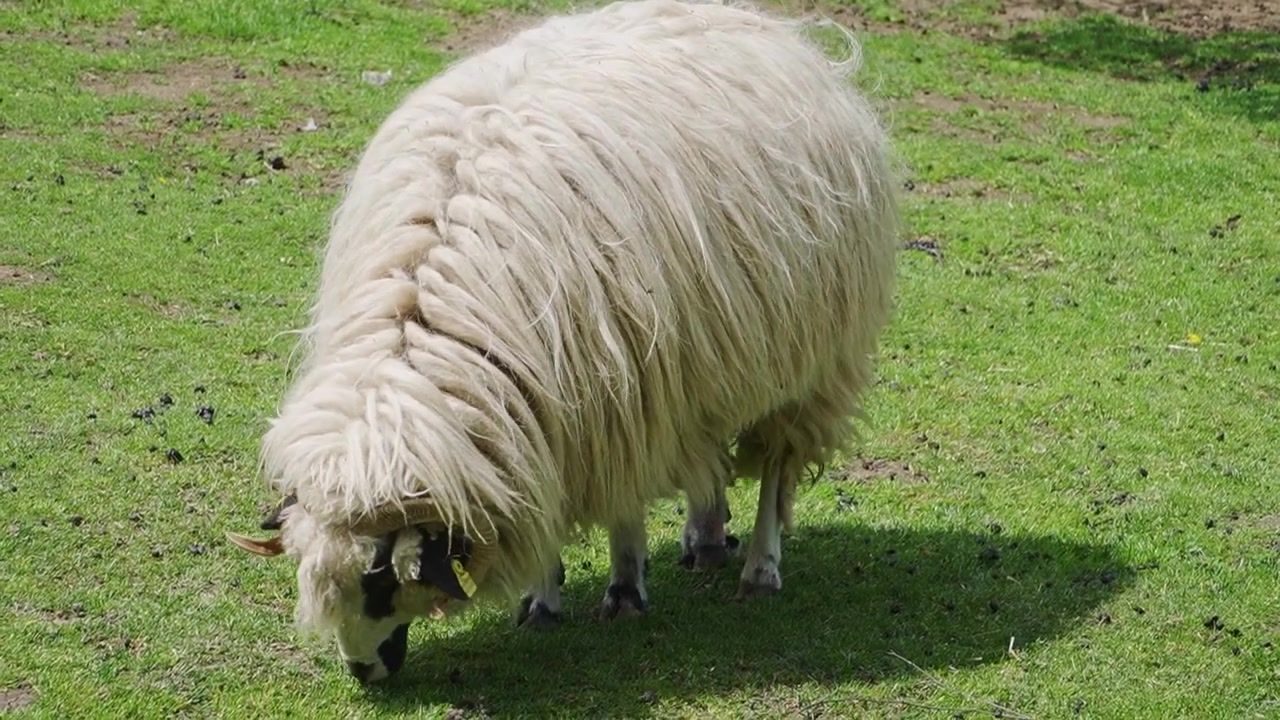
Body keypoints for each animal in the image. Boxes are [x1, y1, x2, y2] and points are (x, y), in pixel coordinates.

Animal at [226, 0, 899, 684]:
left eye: (381, 581)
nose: (365, 673)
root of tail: (769, 29)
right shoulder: (541, 409)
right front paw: (544, 600)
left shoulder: (624, 397)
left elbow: (623, 505)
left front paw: (624, 592)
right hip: (712, 351)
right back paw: (706, 537)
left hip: (811, 358)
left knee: (777, 466)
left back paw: (760, 568)